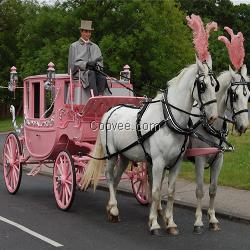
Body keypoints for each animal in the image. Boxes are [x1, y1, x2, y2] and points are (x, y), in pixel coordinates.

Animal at [82, 55, 219, 235]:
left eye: (215, 85)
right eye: (202, 86)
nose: (213, 117)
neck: (168, 120)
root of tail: (110, 110)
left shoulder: (176, 163)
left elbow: (170, 192)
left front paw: (171, 223)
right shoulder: (158, 162)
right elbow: (155, 191)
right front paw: (154, 223)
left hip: (124, 156)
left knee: (117, 178)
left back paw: (111, 208)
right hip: (111, 154)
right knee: (110, 177)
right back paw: (114, 209)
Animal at [190, 65, 249, 234]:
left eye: (248, 95)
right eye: (234, 96)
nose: (244, 126)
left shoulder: (218, 159)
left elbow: (213, 189)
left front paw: (212, 219)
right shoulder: (199, 159)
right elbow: (200, 190)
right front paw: (198, 222)